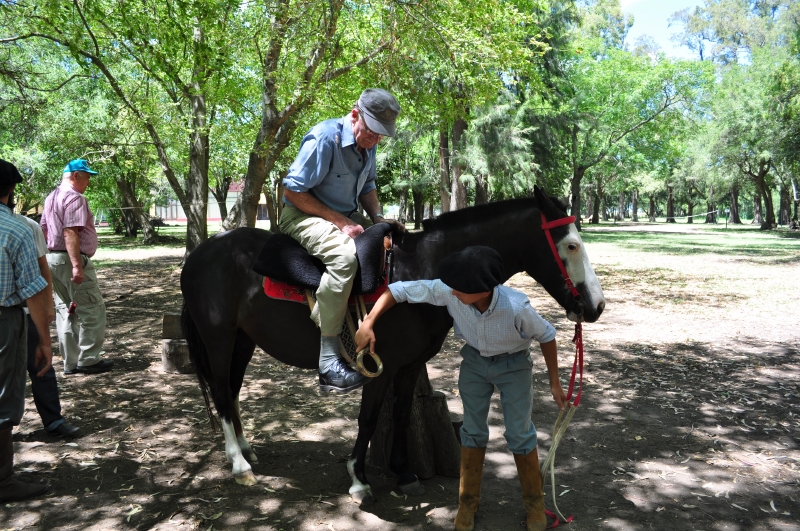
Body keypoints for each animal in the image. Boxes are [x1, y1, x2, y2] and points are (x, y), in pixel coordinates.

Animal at [180, 186, 605, 503]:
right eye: (570, 245)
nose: (596, 306)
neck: (424, 268)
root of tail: (202, 253)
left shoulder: (411, 365)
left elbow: (400, 414)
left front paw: (404, 473)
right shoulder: (379, 366)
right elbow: (368, 418)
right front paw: (358, 479)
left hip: (243, 341)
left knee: (232, 390)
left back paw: (247, 450)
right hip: (218, 338)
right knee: (221, 391)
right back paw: (239, 465)